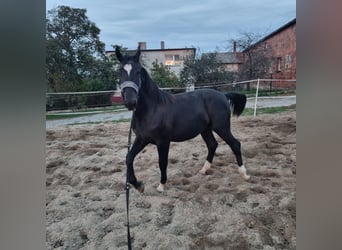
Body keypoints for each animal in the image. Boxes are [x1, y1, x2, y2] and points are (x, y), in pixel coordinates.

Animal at [115, 46, 248, 191]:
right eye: (119, 71)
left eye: (138, 71)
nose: (130, 102)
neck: (153, 108)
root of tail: (223, 95)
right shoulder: (142, 138)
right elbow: (129, 158)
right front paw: (138, 184)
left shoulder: (163, 141)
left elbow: (162, 162)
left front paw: (161, 185)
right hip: (205, 130)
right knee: (213, 145)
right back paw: (203, 170)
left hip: (222, 128)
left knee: (235, 144)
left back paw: (244, 174)